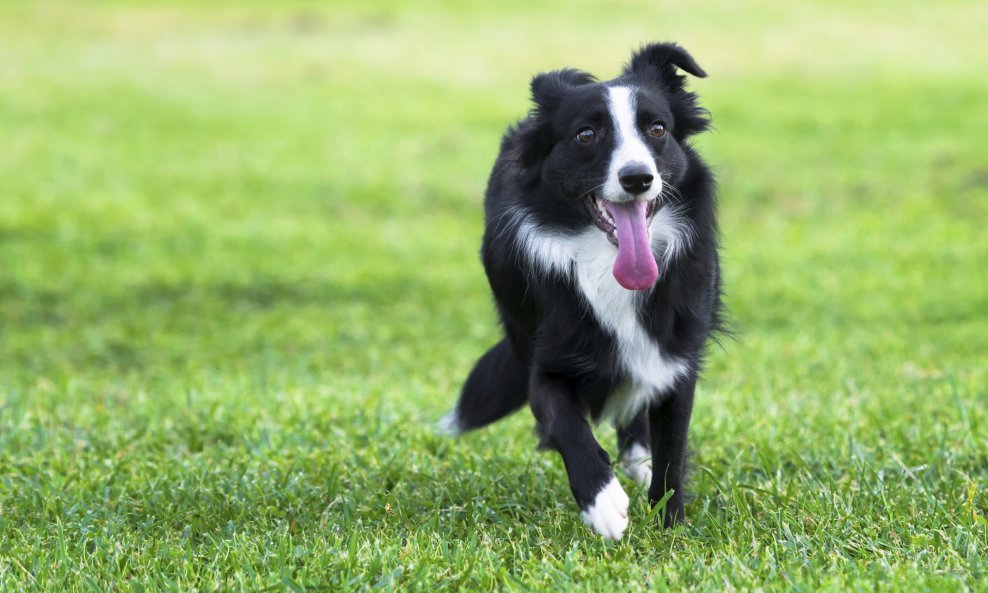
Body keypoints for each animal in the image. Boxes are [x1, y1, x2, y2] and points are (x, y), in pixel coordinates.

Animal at [444, 44, 720, 540]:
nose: (637, 178)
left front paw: (669, 523)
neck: (604, 263)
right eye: (586, 134)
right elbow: (565, 423)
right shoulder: (544, 362)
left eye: (657, 129)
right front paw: (603, 502)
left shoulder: (675, 356)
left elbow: (672, 449)